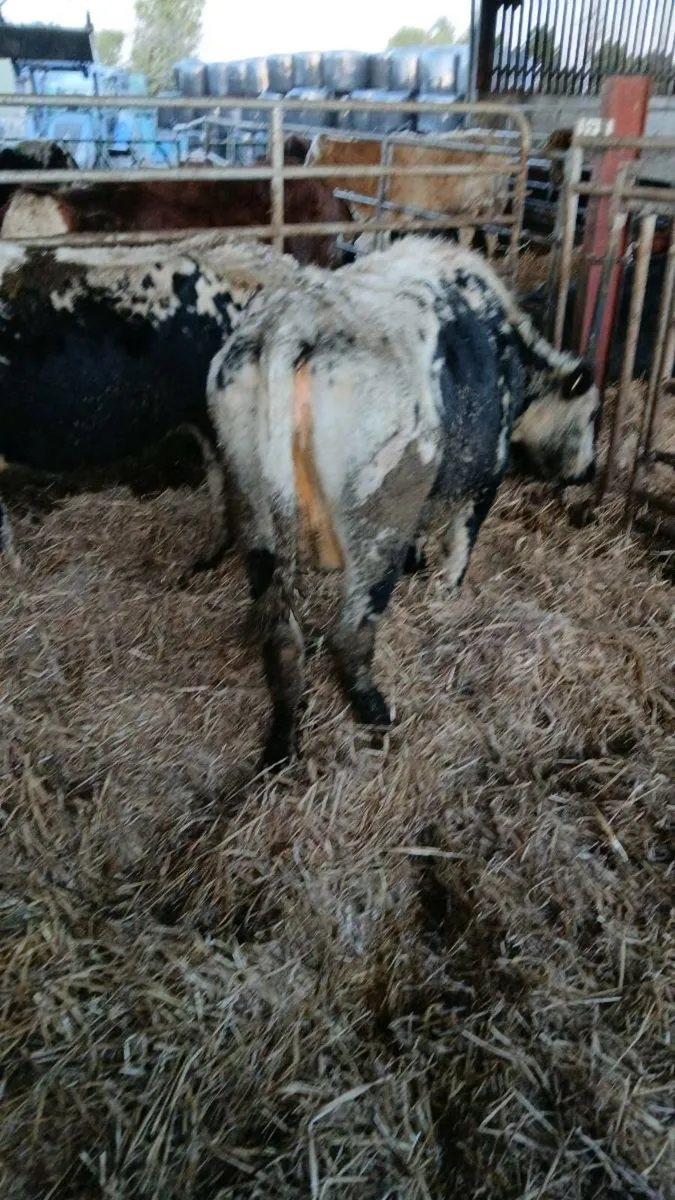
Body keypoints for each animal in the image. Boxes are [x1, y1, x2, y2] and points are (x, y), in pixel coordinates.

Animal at [206, 236, 599, 769]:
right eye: (591, 415)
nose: (589, 472)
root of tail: (297, 322)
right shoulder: (487, 469)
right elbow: (461, 540)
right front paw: (447, 588)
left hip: (252, 504)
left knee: (283, 637)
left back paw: (283, 742)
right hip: (377, 521)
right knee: (350, 630)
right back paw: (373, 708)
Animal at [304, 131, 515, 258]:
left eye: (311, 158)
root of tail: (492, 136)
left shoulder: (392, 216)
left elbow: (369, 244)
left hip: (496, 205)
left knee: (491, 236)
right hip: (466, 210)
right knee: (467, 233)